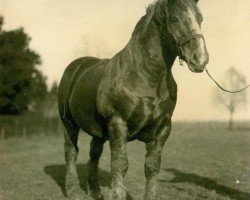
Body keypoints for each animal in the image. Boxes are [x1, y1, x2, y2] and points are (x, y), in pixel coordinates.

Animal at [58, 0, 209, 200]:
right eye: (175, 18)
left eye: (200, 18)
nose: (200, 59)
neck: (144, 76)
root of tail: (76, 66)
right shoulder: (117, 123)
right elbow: (120, 164)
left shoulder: (163, 128)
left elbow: (152, 167)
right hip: (69, 123)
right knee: (71, 152)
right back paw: (73, 190)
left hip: (98, 131)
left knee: (94, 154)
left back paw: (96, 191)